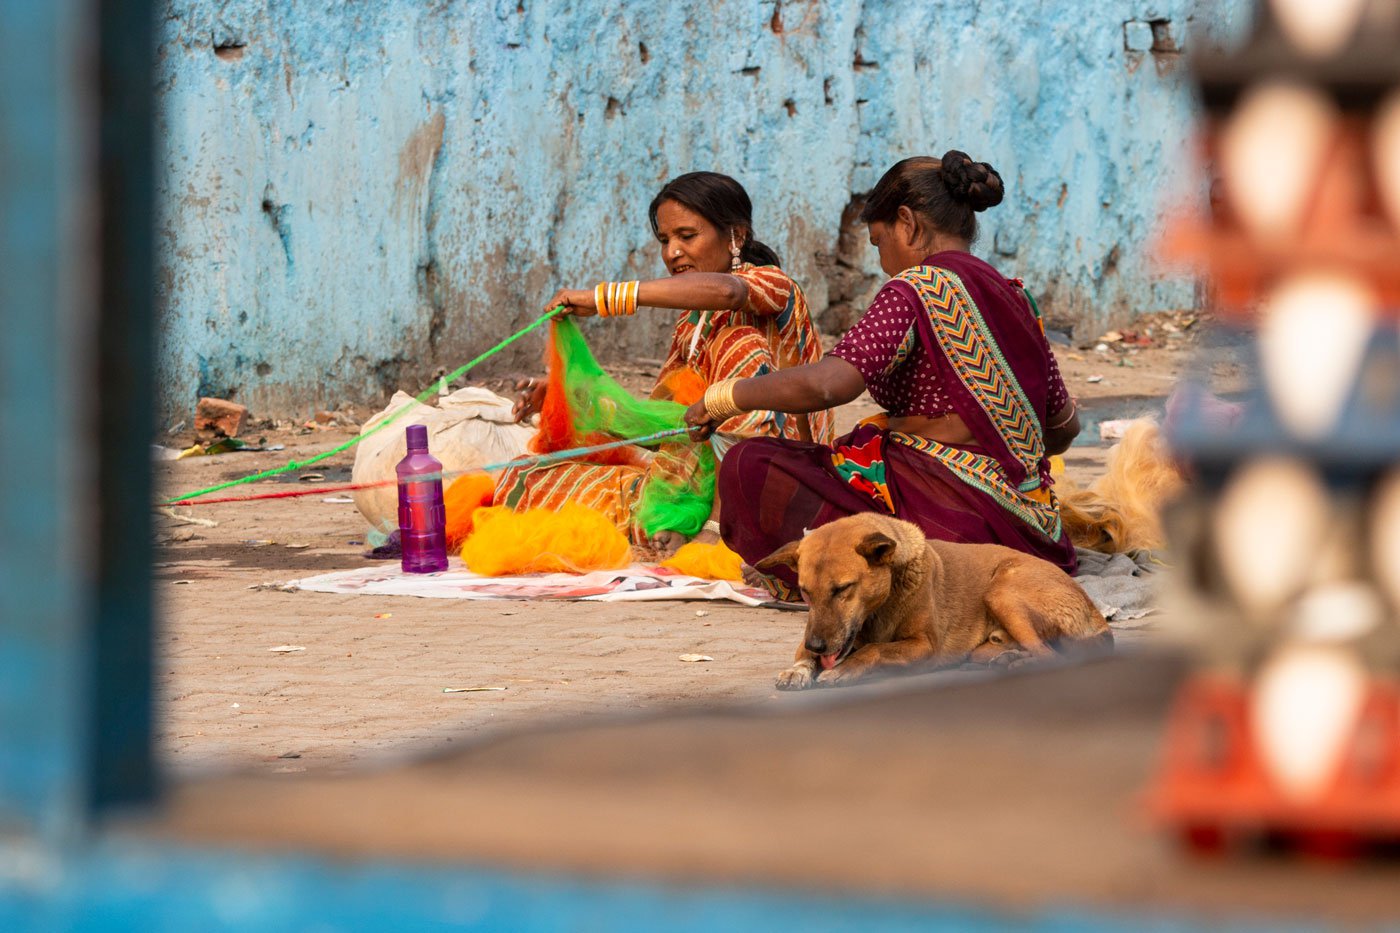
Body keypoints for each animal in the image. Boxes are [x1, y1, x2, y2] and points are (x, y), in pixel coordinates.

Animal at [761, 512, 1108, 686]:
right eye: (805, 592)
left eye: (843, 588)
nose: (818, 646)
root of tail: (1096, 613)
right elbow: (802, 653)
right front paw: (798, 669)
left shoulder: (925, 644)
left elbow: (875, 650)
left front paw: (847, 669)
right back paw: (1009, 658)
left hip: (1001, 593)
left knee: (1055, 657)